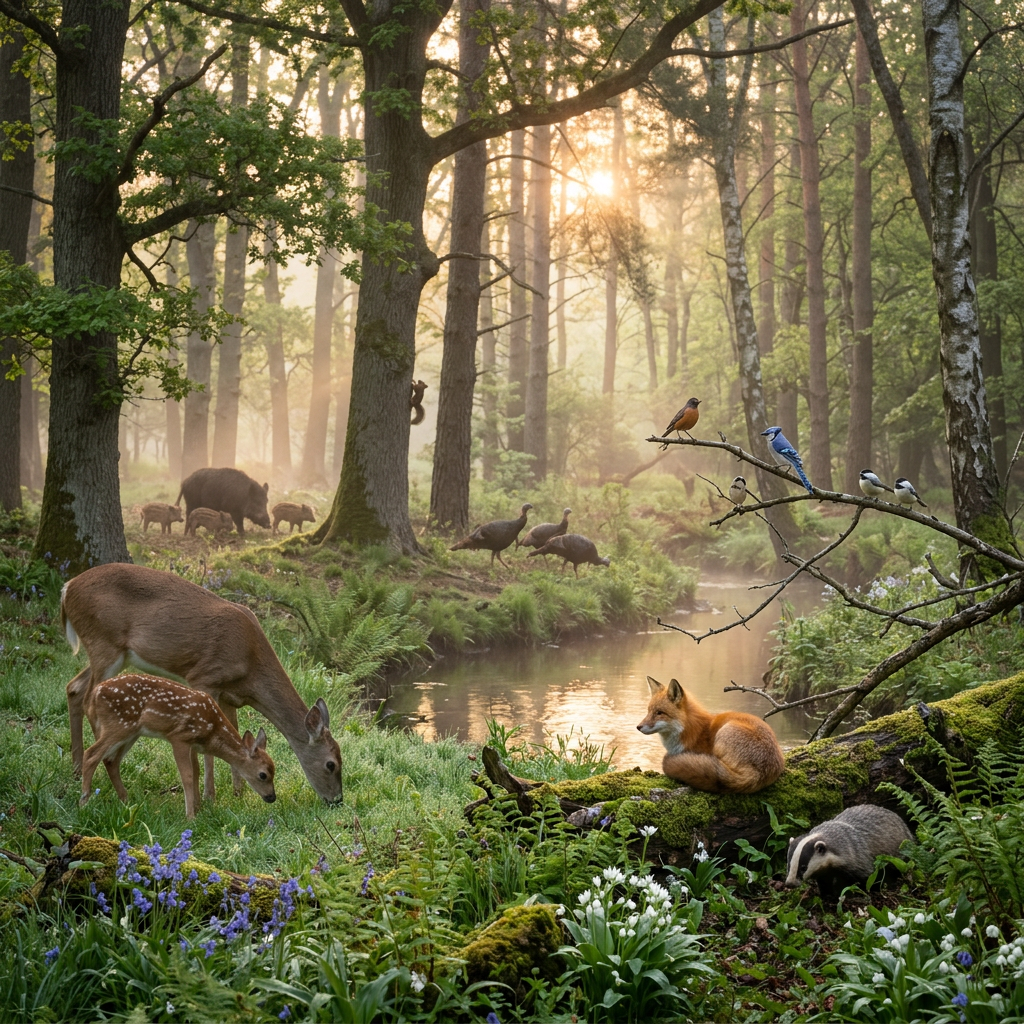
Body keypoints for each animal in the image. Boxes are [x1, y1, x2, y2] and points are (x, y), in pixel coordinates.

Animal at [61, 563, 342, 804]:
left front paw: (238, 792)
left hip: (115, 653)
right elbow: (206, 746)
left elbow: (236, 732)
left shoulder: (231, 695)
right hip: (103, 642)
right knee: (89, 699)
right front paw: (209, 796)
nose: (337, 800)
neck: (250, 664)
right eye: (331, 764)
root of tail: (67, 588)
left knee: (74, 688)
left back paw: (75, 768)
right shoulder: (205, 678)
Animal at [80, 673, 276, 820]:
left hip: (131, 732)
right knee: (90, 754)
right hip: (119, 724)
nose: (272, 797)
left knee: (111, 760)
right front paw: (191, 816)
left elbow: (196, 772)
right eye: (263, 775)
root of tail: (96, 692)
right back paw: (84, 802)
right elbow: (187, 776)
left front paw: (198, 808)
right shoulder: (179, 737)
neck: (212, 730)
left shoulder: (193, 745)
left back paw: (126, 801)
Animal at [637, 677, 785, 794]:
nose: (638, 727)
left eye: (659, 713)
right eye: (648, 711)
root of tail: (758, 774)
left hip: (724, 732)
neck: (689, 729)